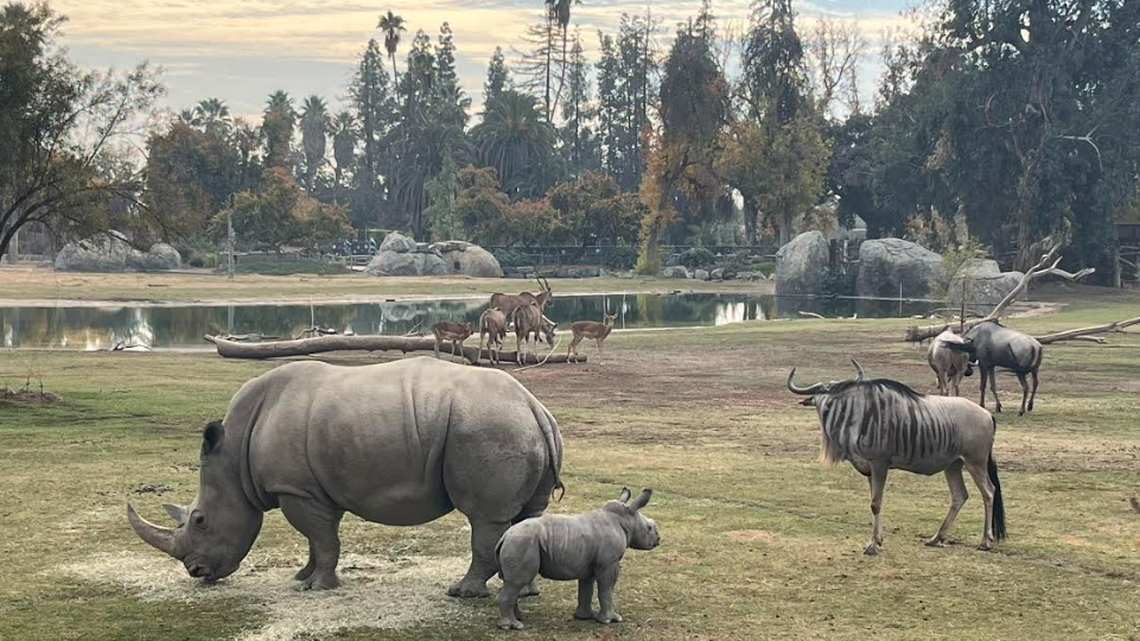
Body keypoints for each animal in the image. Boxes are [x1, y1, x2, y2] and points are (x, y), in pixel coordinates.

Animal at [127, 357, 564, 597]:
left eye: (200, 520)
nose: (196, 573)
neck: (233, 457)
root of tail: (533, 405)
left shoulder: (296, 489)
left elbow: (322, 538)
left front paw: (318, 587)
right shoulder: (311, 489)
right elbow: (317, 539)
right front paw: (301, 579)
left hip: (488, 427)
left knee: (484, 517)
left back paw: (463, 593)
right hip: (514, 425)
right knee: (528, 514)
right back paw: (523, 590)